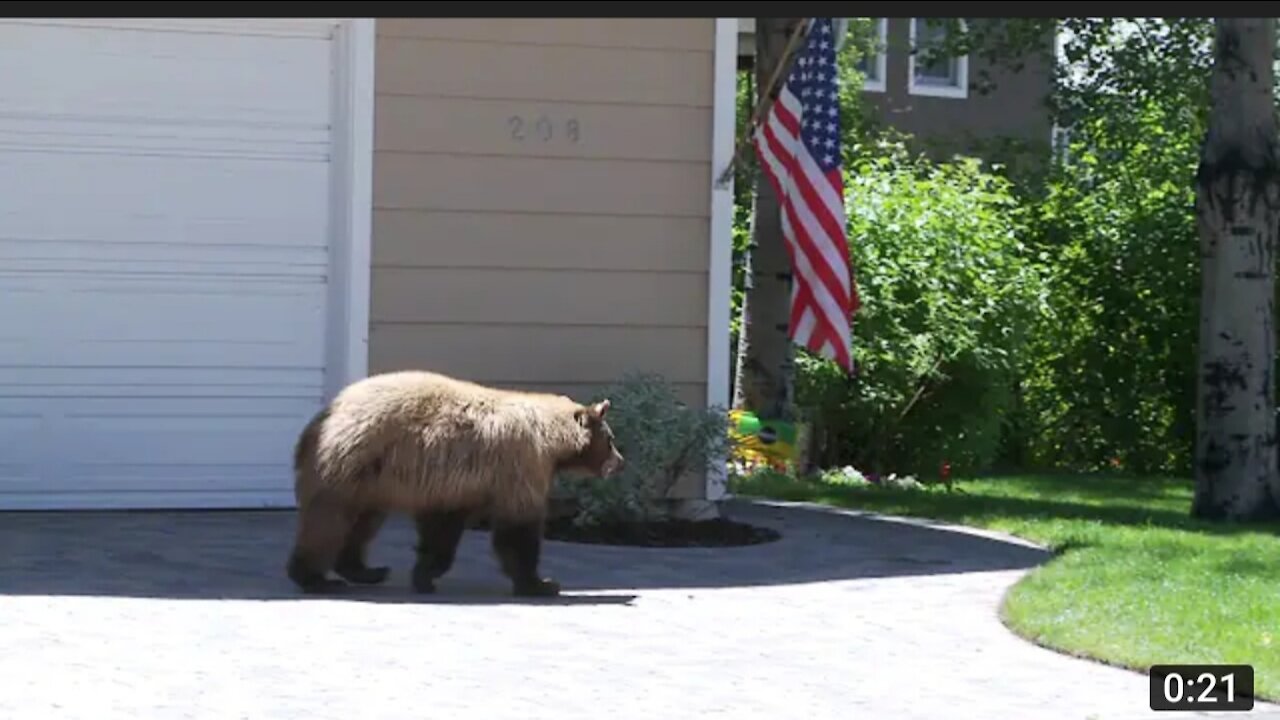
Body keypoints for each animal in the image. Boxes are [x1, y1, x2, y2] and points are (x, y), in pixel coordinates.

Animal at [284, 366, 624, 597]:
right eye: (610, 440)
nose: (620, 462)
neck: (550, 441)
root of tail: (319, 420)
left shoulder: (453, 484)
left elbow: (442, 526)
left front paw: (424, 573)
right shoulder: (520, 467)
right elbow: (518, 528)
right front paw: (541, 583)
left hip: (370, 480)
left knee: (362, 523)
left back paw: (367, 570)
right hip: (350, 462)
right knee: (329, 521)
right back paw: (314, 577)